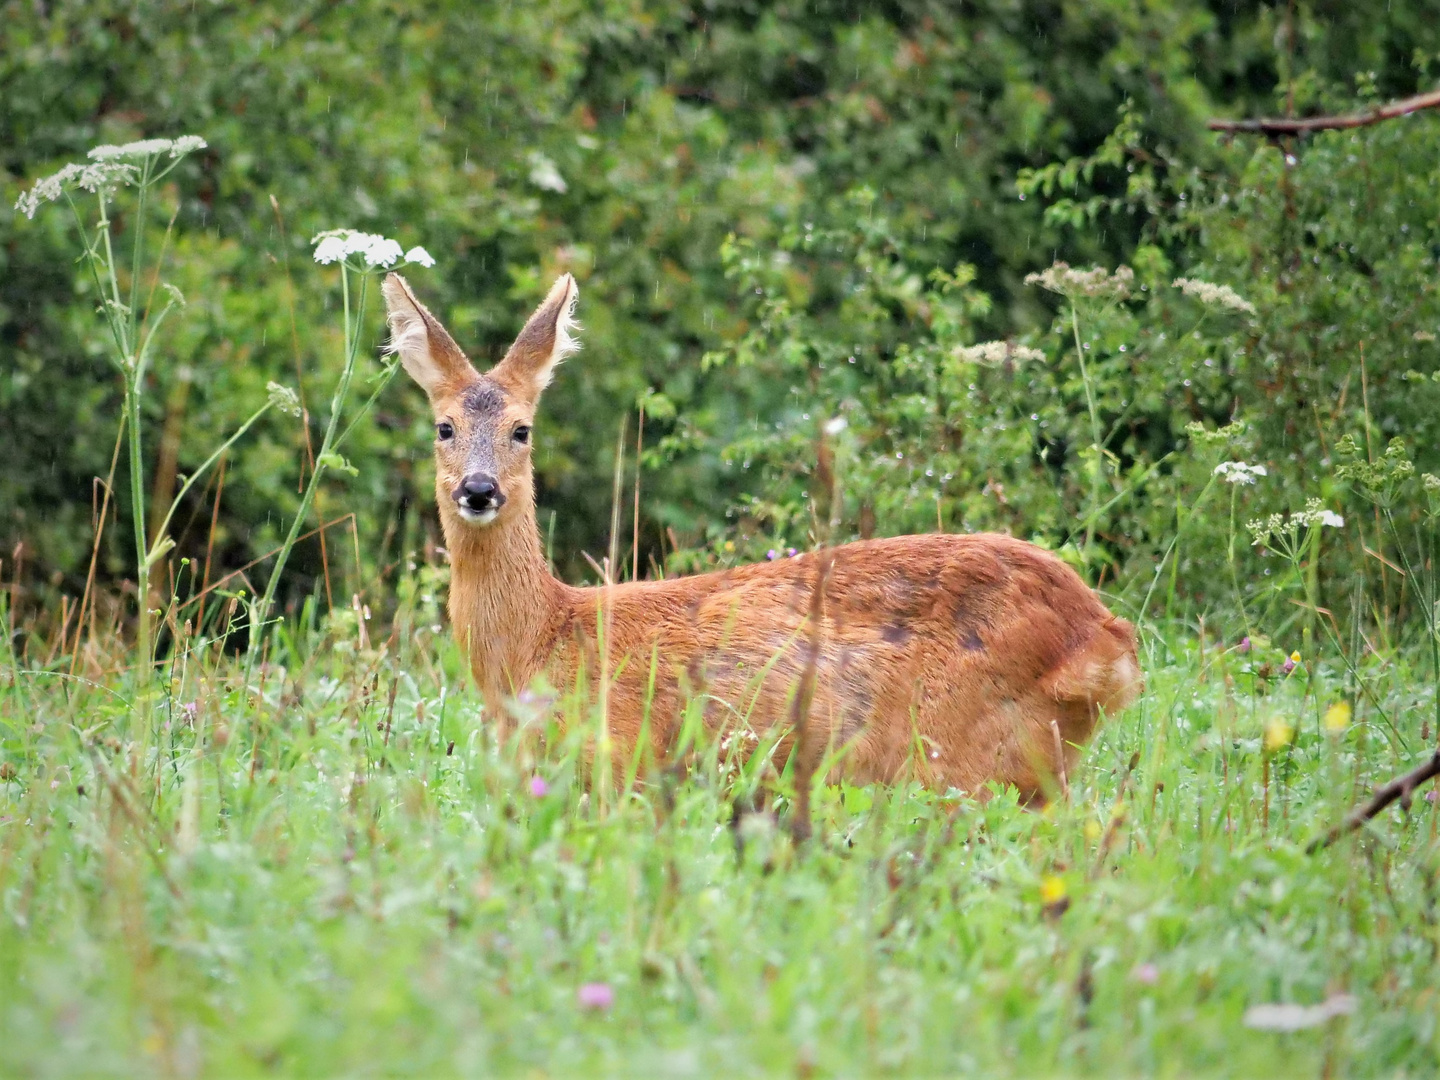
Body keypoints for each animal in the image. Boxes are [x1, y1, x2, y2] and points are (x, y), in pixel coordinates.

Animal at [385, 272, 1146, 794]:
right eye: (444, 426)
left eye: (522, 429)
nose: (478, 490)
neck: (542, 640)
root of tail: (1100, 636)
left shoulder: (623, 762)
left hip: (967, 758)